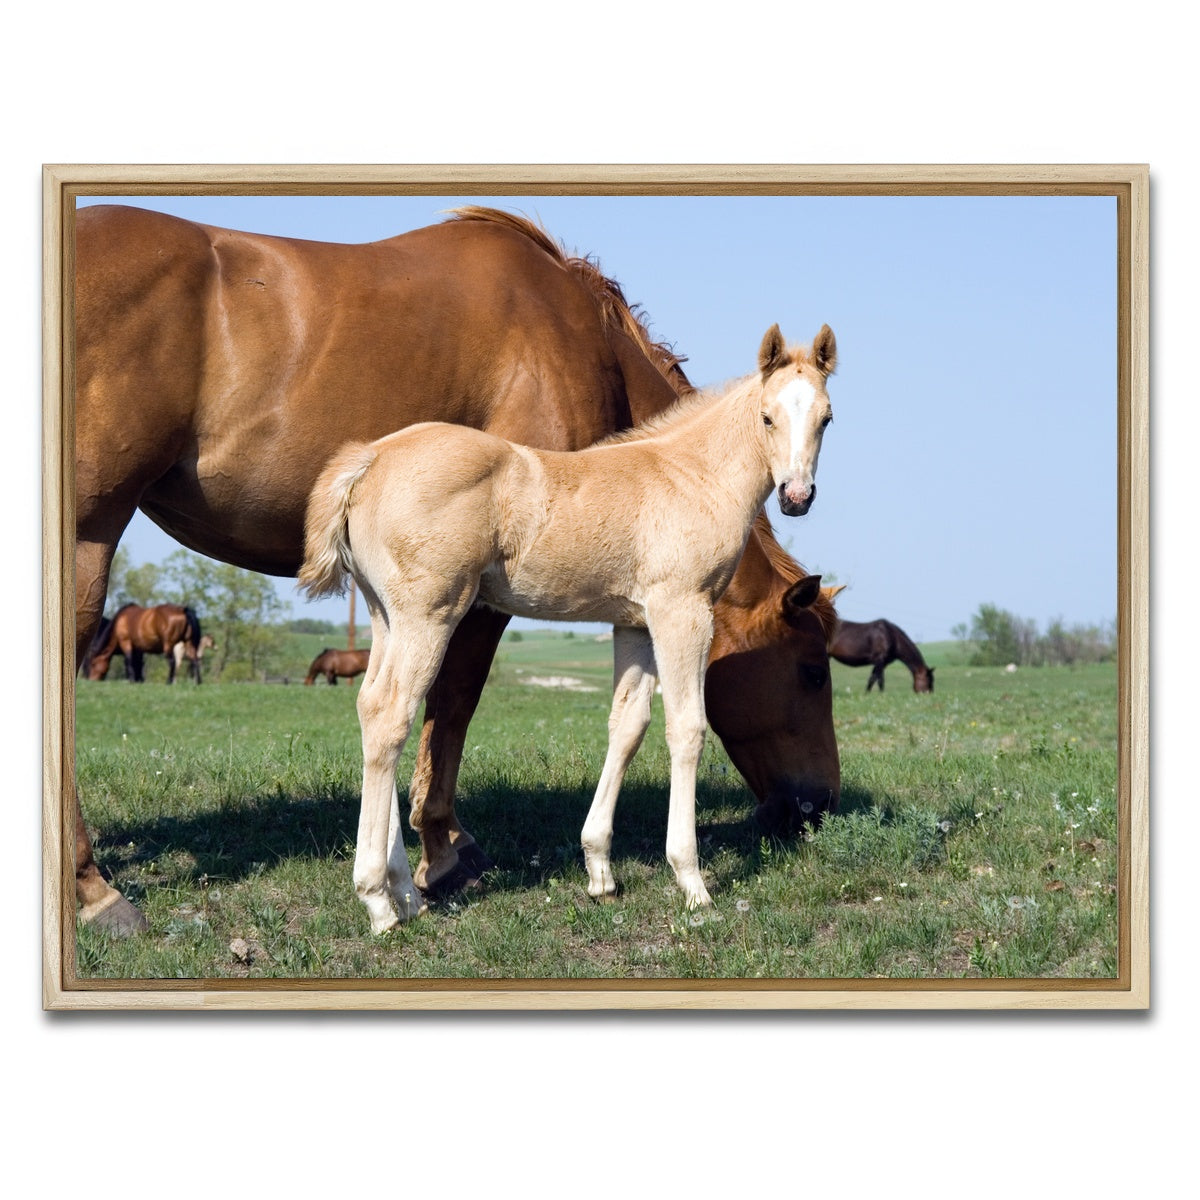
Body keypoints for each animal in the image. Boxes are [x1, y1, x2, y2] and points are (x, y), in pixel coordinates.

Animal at [299, 323, 837, 929]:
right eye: (767, 417)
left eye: (826, 417)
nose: (796, 496)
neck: (691, 477)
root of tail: (370, 456)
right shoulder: (681, 610)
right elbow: (687, 728)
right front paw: (691, 880)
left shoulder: (634, 623)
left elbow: (628, 726)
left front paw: (600, 871)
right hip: (428, 614)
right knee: (392, 715)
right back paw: (378, 902)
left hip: (385, 615)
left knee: (371, 707)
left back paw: (407, 896)